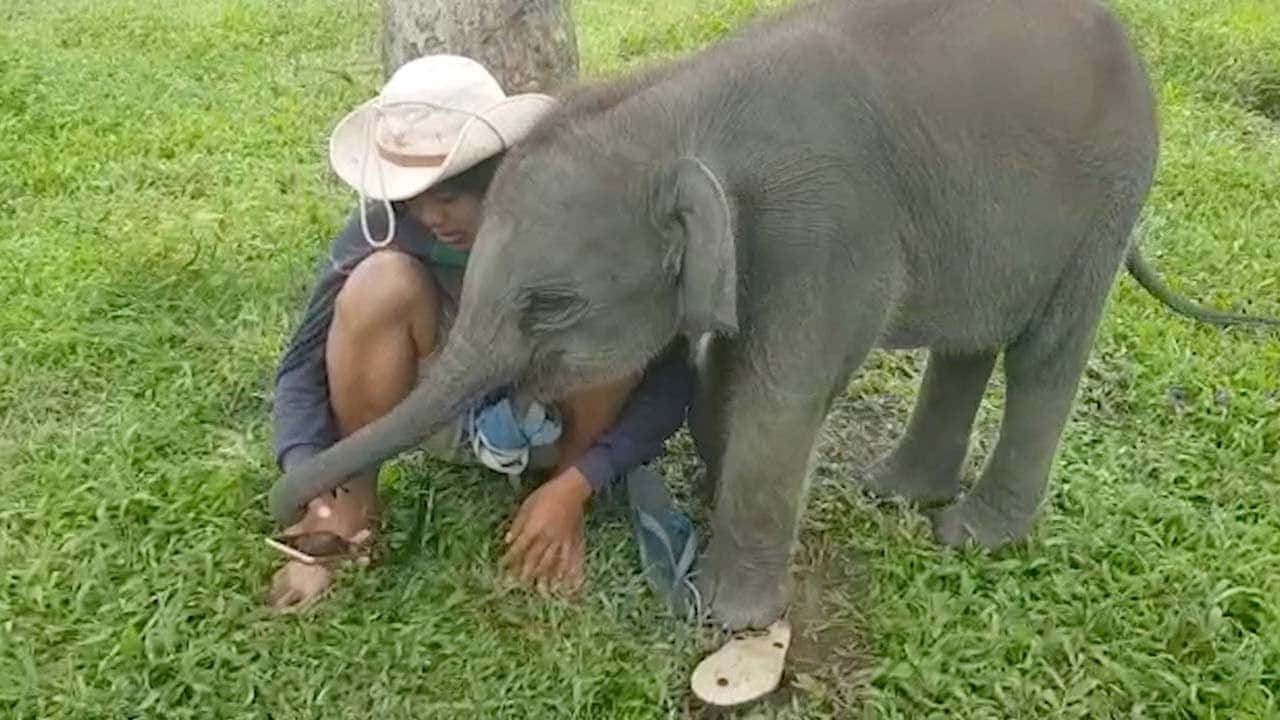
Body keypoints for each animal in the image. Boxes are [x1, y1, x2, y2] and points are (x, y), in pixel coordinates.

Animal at [271, 0, 1279, 630]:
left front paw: (729, 615)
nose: (300, 511)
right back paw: (896, 492)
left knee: (1045, 352)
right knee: (970, 341)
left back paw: (970, 534)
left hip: (1108, 198)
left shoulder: (828, 226)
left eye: (550, 304)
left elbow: (781, 394)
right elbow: (722, 373)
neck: (682, 104)